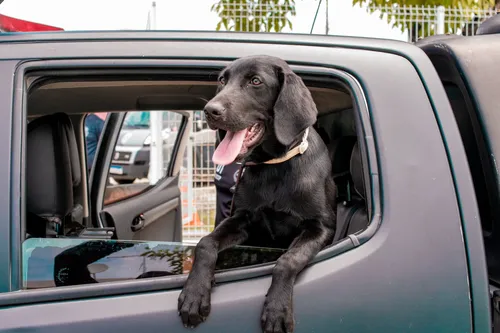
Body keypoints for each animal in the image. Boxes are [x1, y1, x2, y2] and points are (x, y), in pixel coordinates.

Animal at [178, 54, 338, 332]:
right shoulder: (242, 219)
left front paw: (277, 309)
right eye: (222, 80)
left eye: (255, 81)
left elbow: (287, 260)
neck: (273, 165)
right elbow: (205, 243)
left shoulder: (321, 227)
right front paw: (194, 294)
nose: (210, 110)